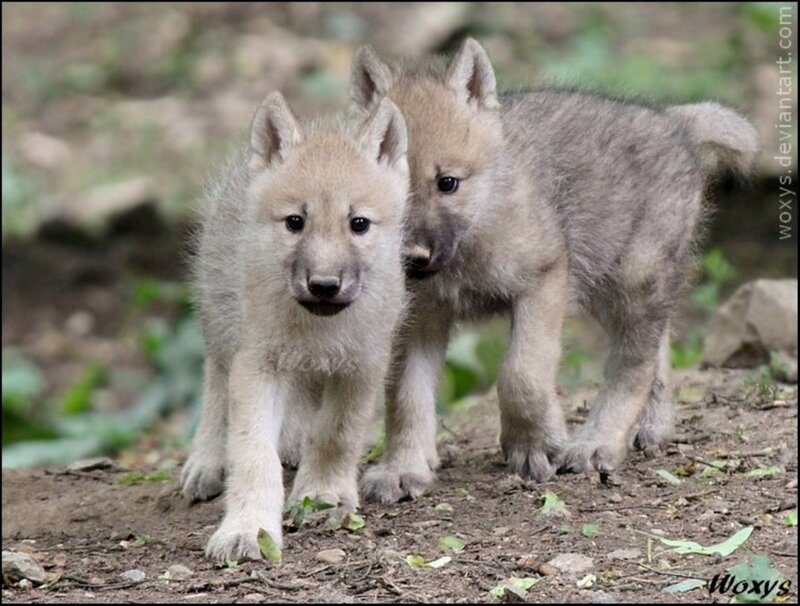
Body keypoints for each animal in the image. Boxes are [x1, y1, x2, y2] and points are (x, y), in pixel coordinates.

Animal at [180, 91, 410, 562]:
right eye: (295, 222)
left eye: (358, 224)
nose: (323, 285)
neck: (317, 331)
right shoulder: (257, 365)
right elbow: (253, 453)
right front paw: (248, 529)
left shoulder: (363, 365)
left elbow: (335, 433)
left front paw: (322, 493)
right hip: (219, 324)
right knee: (214, 386)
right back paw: (206, 462)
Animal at [349, 38, 758, 501]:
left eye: (447, 183)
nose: (412, 258)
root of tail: (675, 123)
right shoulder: (418, 318)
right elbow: (405, 397)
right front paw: (402, 468)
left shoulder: (543, 281)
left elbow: (521, 375)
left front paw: (534, 444)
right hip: (605, 286)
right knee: (659, 347)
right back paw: (652, 426)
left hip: (631, 281)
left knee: (634, 364)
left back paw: (597, 443)